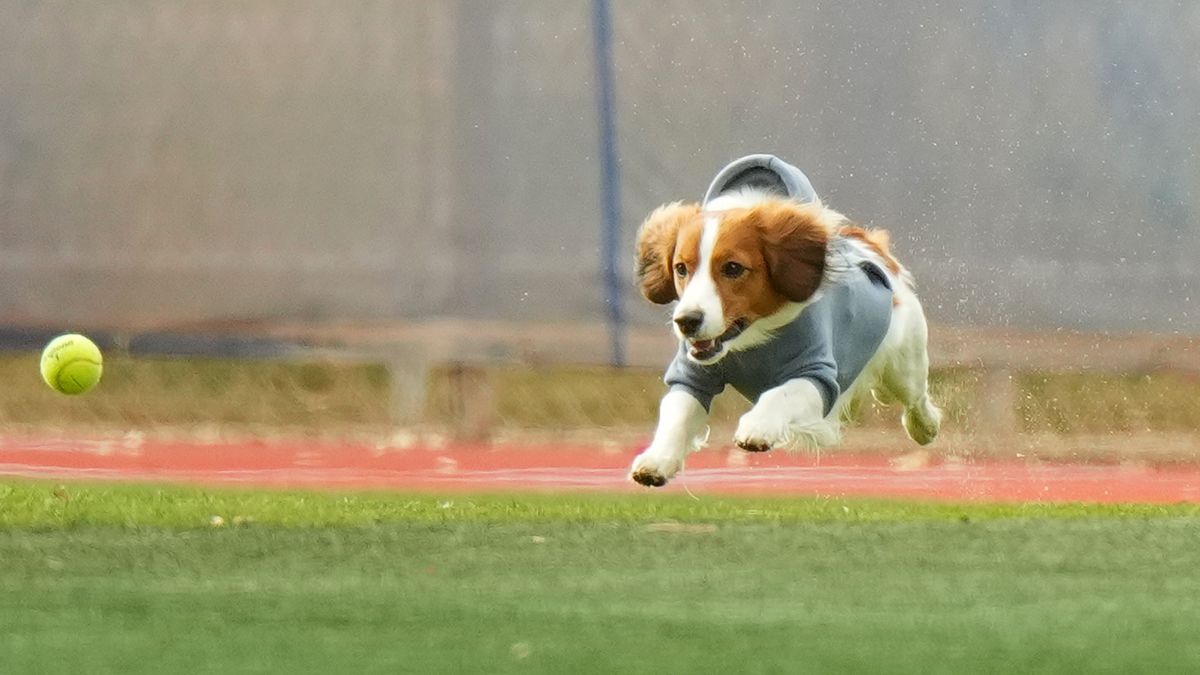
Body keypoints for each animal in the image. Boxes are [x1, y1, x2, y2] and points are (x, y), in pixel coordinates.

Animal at [624, 154, 940, 485]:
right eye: (681, 268)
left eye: (733, 268)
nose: (686, 321)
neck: (753, 339)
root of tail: (868, 245)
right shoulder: (693, 374)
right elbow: (678, 412)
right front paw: (657, 459)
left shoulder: (817, 373)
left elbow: (781, 392)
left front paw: (757, 426)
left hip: (905, 363)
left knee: (915, 397)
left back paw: (925, 427)